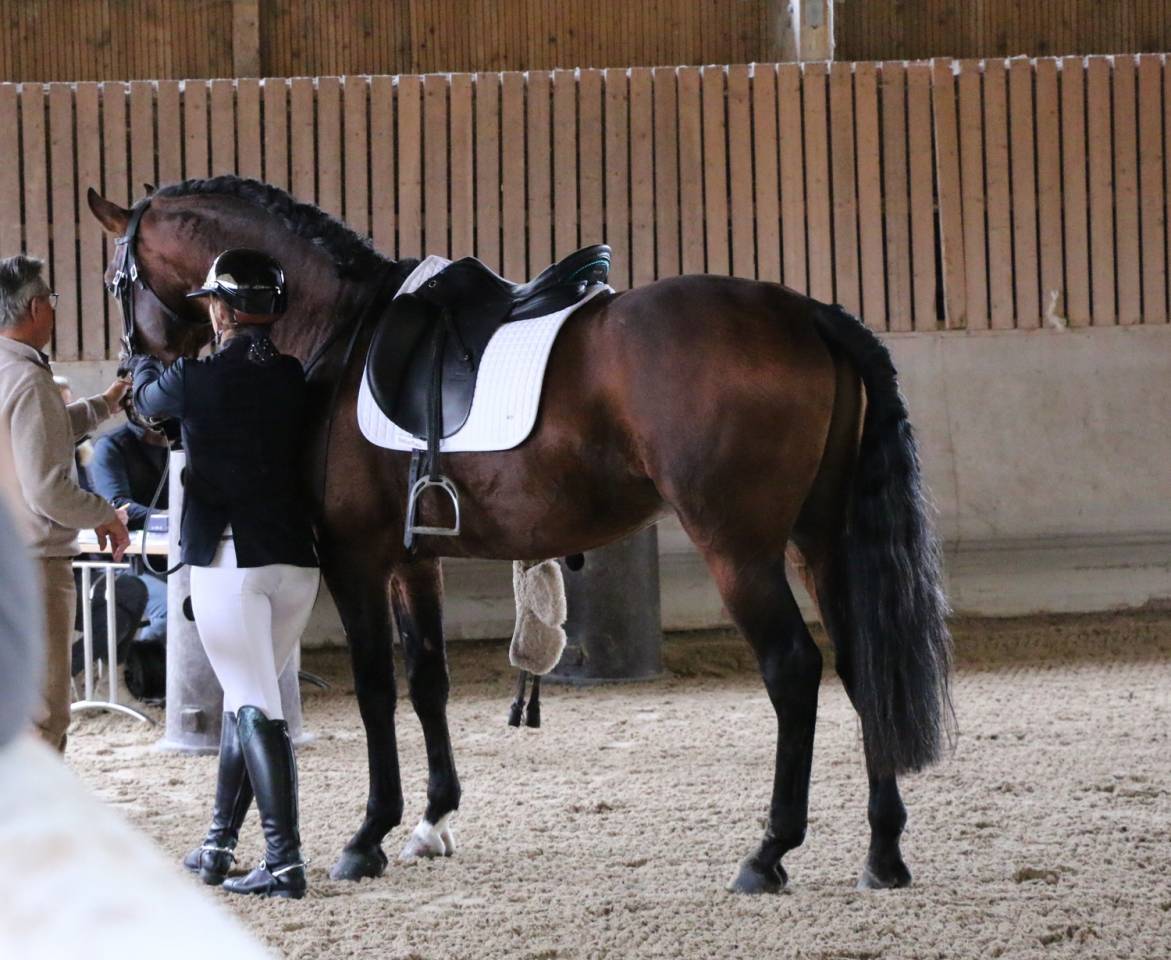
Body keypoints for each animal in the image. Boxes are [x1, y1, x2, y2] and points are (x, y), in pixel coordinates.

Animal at [87, 176, 953, 893]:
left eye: (113, 282)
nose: (133, 389)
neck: (336, 331)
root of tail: (807, 314)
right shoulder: (414, 560)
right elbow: (427, 678)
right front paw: (432, 820)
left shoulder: (355, 557)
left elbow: (375, 688)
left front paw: (368, 836)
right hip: (819, 541)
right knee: (861, 665)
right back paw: (883, 851)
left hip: (739, 549)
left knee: (794, 670)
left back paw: (768, 853)